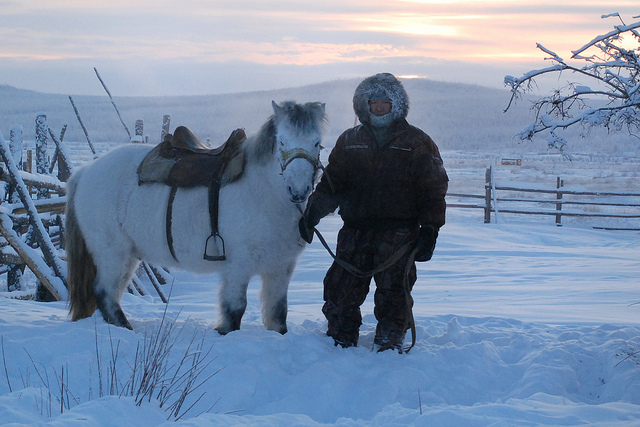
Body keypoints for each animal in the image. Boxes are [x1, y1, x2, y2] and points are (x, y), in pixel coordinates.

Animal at [66, 101, 324, 334]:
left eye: (317, 143)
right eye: (282, 141)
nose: (298, 191)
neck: (265, 192)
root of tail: (85, 172)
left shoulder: (281, 268)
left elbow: (278, 314)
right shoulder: (238, 266)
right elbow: (234, 312)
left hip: (127, 254)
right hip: (112, 251)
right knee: (105, 292)